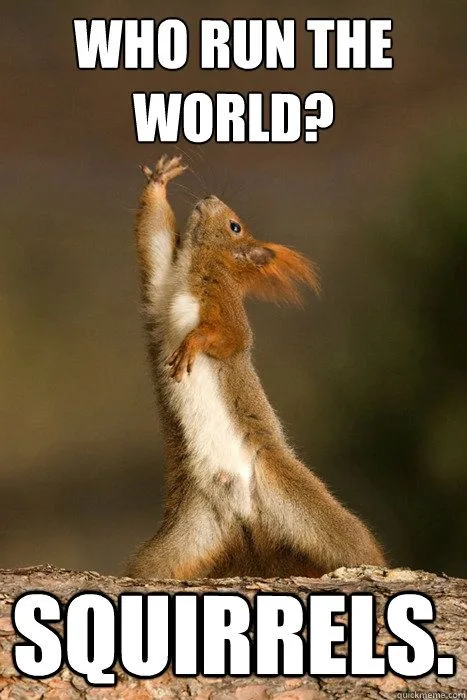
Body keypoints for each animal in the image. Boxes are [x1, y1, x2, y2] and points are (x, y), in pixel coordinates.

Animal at [126, 154, 386, 579]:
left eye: (235, 226)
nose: (209, 198)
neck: (192, 271)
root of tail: (243, 514)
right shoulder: (160, 284)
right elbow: (153, 241)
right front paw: (160, 181)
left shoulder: (225, 308)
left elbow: (228, 337)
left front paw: (192, 345)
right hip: (180, 541)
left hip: (309, 508)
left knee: (354, 548)